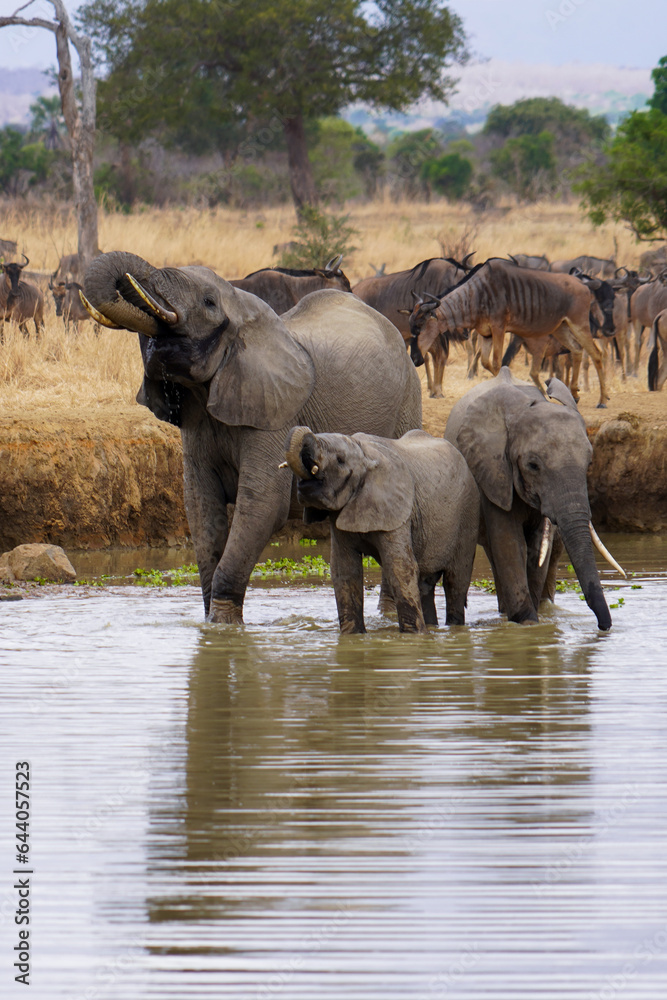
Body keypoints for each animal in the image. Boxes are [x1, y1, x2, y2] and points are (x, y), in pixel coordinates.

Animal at [81, 252, 420, 616]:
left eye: (209, 302)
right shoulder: (198, 418)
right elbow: (200, 504)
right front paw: (211, 620)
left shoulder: (275, 413)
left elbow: (263, 504)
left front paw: (223, 620)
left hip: (408, 399)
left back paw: (387, 614)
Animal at [282, 428, 480, 632]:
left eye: (340, 460)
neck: (364, 454)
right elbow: (345, 569)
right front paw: (353, 635)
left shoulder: (398, 510)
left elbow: (400, 567)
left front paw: (414, 636)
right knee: (426, 585)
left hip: (469, 514)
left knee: (455, 583)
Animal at [446, 368, 624, 632]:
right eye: (533, 465)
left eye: (590, 463)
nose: (604, 627)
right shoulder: (492, 472)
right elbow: (510, 543)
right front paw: (529, 624)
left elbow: (539, 546)